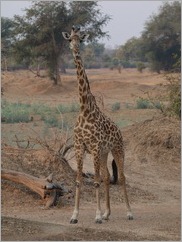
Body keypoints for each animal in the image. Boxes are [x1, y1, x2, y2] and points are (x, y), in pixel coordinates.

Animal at [61, 25, 133, 224]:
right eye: (69, 39)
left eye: (80, 39)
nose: (75, 48)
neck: (85, 110)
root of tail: (119, 130)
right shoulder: (80, 147)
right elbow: (79, 180)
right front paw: (74, 215)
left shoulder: (93, 147)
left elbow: (95, 181)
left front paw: (97, 216)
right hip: (103, 152)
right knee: (108, 177)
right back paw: (108, 213)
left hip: (117, 149)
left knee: (122, 177)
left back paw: (129, 212)